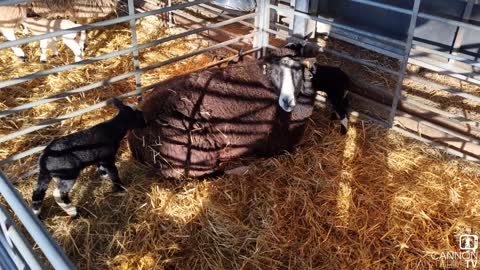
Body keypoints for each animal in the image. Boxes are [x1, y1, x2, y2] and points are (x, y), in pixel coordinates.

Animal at [125, 45, 316, 178]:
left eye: (298, 72)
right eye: (276, 73)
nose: (287, 102)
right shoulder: (277, 143)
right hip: (195, 158)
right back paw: (240, 168)